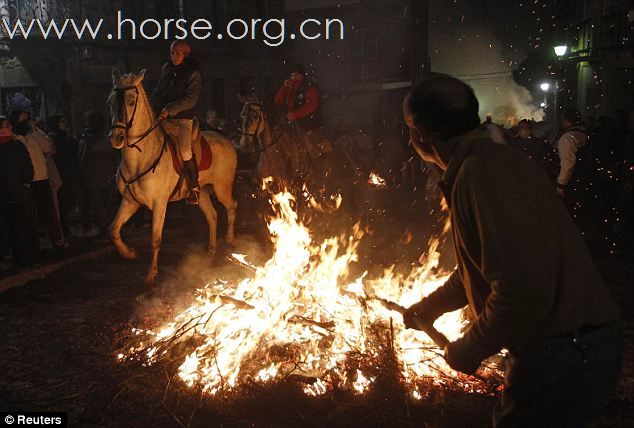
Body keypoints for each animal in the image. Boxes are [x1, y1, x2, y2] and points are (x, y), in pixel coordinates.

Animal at [108, 68, 237, 288]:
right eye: (110, 101)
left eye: (131, 101)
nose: (117, 138)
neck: (141, 157)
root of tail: (226, 141)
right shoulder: (130, 201)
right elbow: (114, 230)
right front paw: (130, 254)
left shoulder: (159, 203)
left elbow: (155, 239)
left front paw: (151, 275)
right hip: (203, 193)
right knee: (212, 216)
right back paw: (211, 252)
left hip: (222, 189)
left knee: (232, 206)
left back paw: (229, 239)